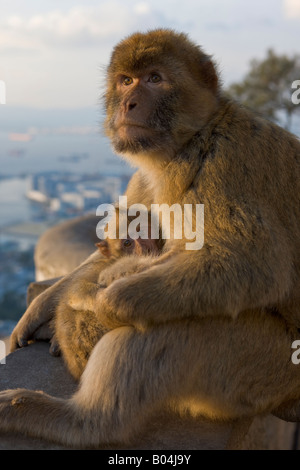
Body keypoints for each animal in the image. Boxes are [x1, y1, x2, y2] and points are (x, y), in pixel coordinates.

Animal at [1, 29, 300, 448]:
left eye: (155, 79)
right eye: (126, 80)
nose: (129, 102)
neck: (184, 146)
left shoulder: (226, 160)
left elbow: (253, 266)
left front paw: (104, 305)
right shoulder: (144, 179)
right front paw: (40, 309)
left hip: (265, 369)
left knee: (167, 318)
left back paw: (82, 421)